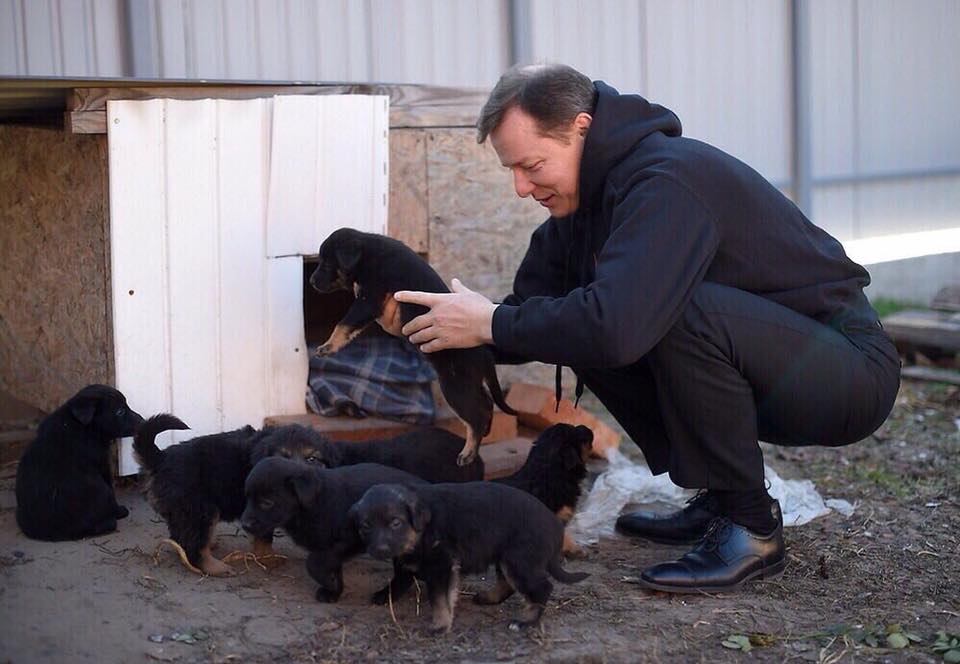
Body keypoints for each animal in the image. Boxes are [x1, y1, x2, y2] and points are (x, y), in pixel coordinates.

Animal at [15, 384, 144, 541]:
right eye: (120, 411)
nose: (143, 421)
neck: (83, 427)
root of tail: (56, 532)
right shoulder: (102, 465)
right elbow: (111, 488)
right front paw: (119, 511)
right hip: (100, 490)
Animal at [241, 458, 425, 603]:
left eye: (267, 502)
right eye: (247, 497)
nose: (244, 524)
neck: (314, 503)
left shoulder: (347, 540)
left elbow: (313, 562)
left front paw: (329, 584)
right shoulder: (328, 546)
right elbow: (331, 566)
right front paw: (333, 590)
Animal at [308, 228, 517, 466]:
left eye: (326, 264)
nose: (311, 281)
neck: (367, 254)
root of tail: (484, 352)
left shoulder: (369, 298)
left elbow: (343, 323)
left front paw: (328, 346)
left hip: (455, 385)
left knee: (476, 416)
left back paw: (468, 453)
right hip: (468, 381)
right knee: (486, 403)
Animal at [350, 481, 589, 633]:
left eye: (395, 522)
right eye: (366, 525)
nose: (380, 549)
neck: (422, 528)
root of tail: (556, 527)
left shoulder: (442, 566)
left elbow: (439, 599)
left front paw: (440, 625)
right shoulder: (407, 560)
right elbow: (399, 578)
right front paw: (384, 595)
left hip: (519, 558)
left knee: (542, 587)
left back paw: (525, 621)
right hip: (506, 555)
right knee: (509, 583)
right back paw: (488, 598)